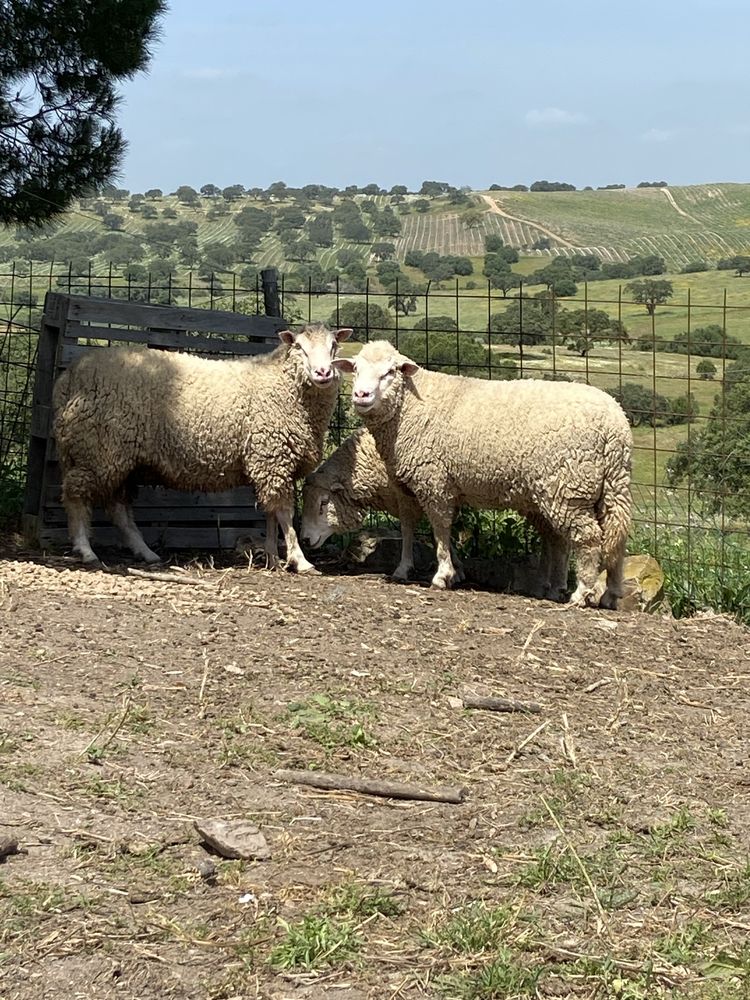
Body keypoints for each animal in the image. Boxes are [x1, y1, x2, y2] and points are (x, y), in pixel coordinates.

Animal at [53, 322, 352, 572]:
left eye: (333, 347)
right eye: (300, 347)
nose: (323, 372)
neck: (283, 386)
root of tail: (69, 378)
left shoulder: (269, 462)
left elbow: (270, 513)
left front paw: (272, 558)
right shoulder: (272, 457)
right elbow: (284, 513)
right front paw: (299, 560)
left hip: (121, 458)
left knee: (118, 509)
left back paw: (146, 553)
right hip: (98, 450)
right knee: (75, 495)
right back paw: (86, 550)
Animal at [302, 426, 572, 596]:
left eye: (324, 503)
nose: (305, 539)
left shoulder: (409, 493)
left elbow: (410, 529)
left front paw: (405, 569)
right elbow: (442, 533)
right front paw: (457, 569)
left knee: (559, 539)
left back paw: (556, 585)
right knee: (552, 538)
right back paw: (545, 583)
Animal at [332, 340, 632, 604]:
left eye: (390, 372)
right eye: (355, 369)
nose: (361, 395)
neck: (410, 407)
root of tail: (616, 424)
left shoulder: (434, 480)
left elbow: (440, 528)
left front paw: (442, 575)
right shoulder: (413, 485)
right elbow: (412, 528)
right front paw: (408, 569)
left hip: (567, 487)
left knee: (589, 538)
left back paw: (581, 593)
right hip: (607, 487)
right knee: (614, 535)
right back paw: (608, 594)